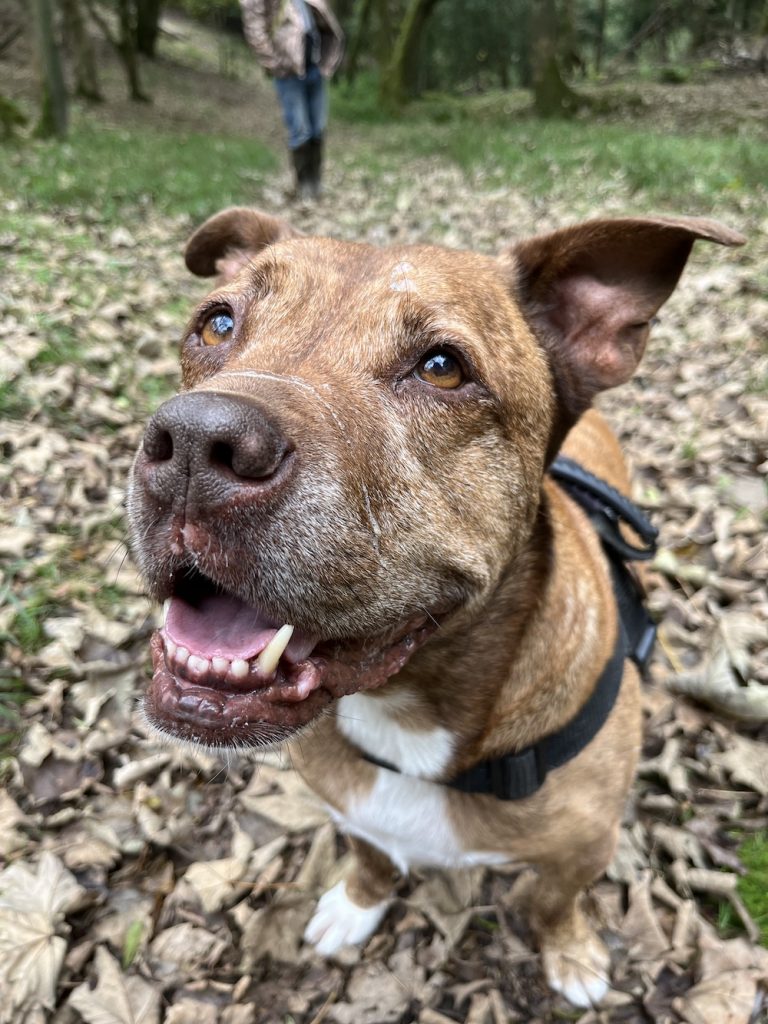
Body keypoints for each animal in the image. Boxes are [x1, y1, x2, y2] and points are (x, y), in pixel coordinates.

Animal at [128, 209, 745, 1007]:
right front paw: (357, 904)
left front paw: (571, 954)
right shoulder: (351, 806)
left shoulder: (585, 847)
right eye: (217, 324)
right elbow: (371, 858)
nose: (197, 443)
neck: (409, 713)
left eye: (443, 367)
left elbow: (554, 901)